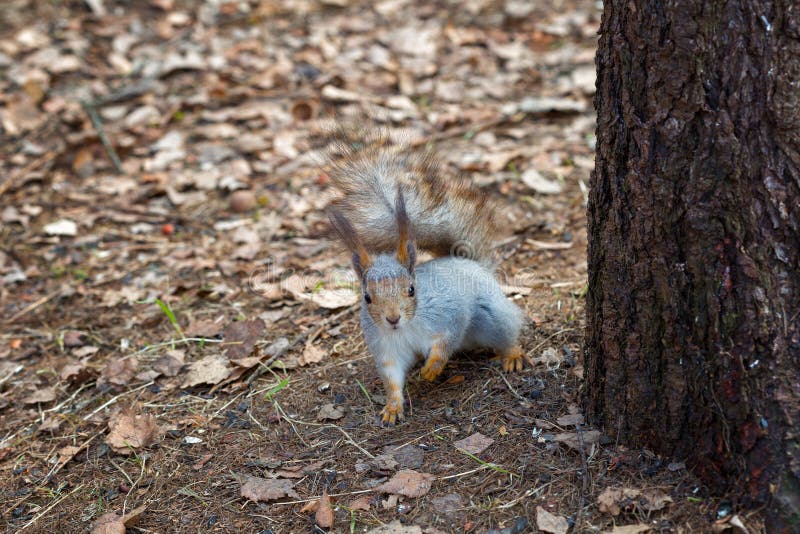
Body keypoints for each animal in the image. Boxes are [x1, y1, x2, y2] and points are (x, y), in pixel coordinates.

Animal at [327, 135, 525, 425]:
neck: (405, 327)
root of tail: (470, 263)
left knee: (505, 330)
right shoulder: (386, 347)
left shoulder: (449, 313)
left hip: (490, 314)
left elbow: (446, 341)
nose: (392, 318)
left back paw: (512, 354)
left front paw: (432, 368)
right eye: (367, 297)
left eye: (411, 289)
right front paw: (392, 407)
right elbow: (392, 378)